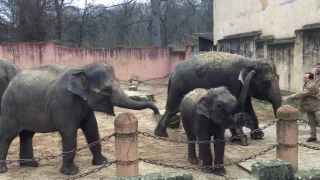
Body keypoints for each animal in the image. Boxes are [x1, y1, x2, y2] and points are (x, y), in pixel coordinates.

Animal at [0, 62, 159, 174]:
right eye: (106, 91)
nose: (157, 112)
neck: (82, 69)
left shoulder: (85, 107)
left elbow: (92, 129)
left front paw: (102, 162)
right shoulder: (64, 102)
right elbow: (69, 132)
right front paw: (71, 172)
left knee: (27, 135)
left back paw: (30, 164)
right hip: (9, 109)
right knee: (7, 136)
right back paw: (4, 169)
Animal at [154, 51, 282, 139]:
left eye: (279, 78)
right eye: (266, 83)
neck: (249, 61)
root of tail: (172, 73)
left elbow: (247, 105)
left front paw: (258, 136)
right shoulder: (233, 82)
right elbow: (241, 106)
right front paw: (239, 138)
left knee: (171, 111)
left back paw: (160, 134)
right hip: (178, 89)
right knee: (172, 110)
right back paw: (162, 134)